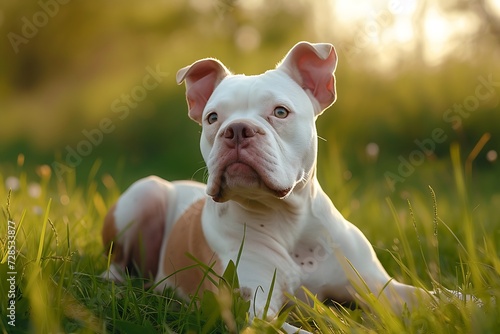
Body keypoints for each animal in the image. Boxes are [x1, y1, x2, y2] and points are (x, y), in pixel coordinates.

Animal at [102, 41, 442, 332]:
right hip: (144, 192)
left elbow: (436, 296)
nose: (237, 129)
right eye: (212, 118)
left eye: (280, 112)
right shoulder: (256, 312)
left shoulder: (380, 288)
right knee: (116, 265)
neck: (290, 224)